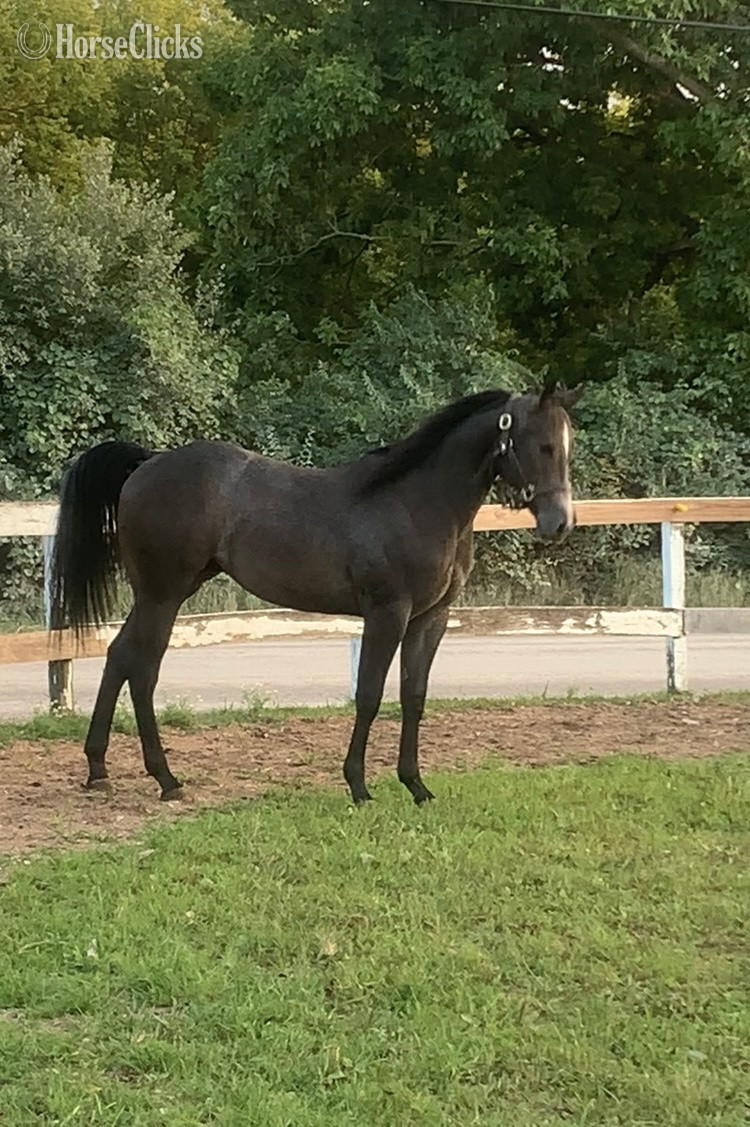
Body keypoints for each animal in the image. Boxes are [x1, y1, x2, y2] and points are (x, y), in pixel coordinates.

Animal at [51, 381, 580, 805]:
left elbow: (414, 696)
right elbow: (369, 695)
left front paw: (416, 785)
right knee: (143, 670)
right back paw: (165, 778)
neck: (416, 503)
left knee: (119, 656)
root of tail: (149, 462)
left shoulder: (431, 619)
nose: (560, 523)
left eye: (566, 446)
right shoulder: (387, 613)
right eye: (542, 445)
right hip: (164, 594)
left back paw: (98, 769)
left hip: (160, 593)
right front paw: (359, 786)